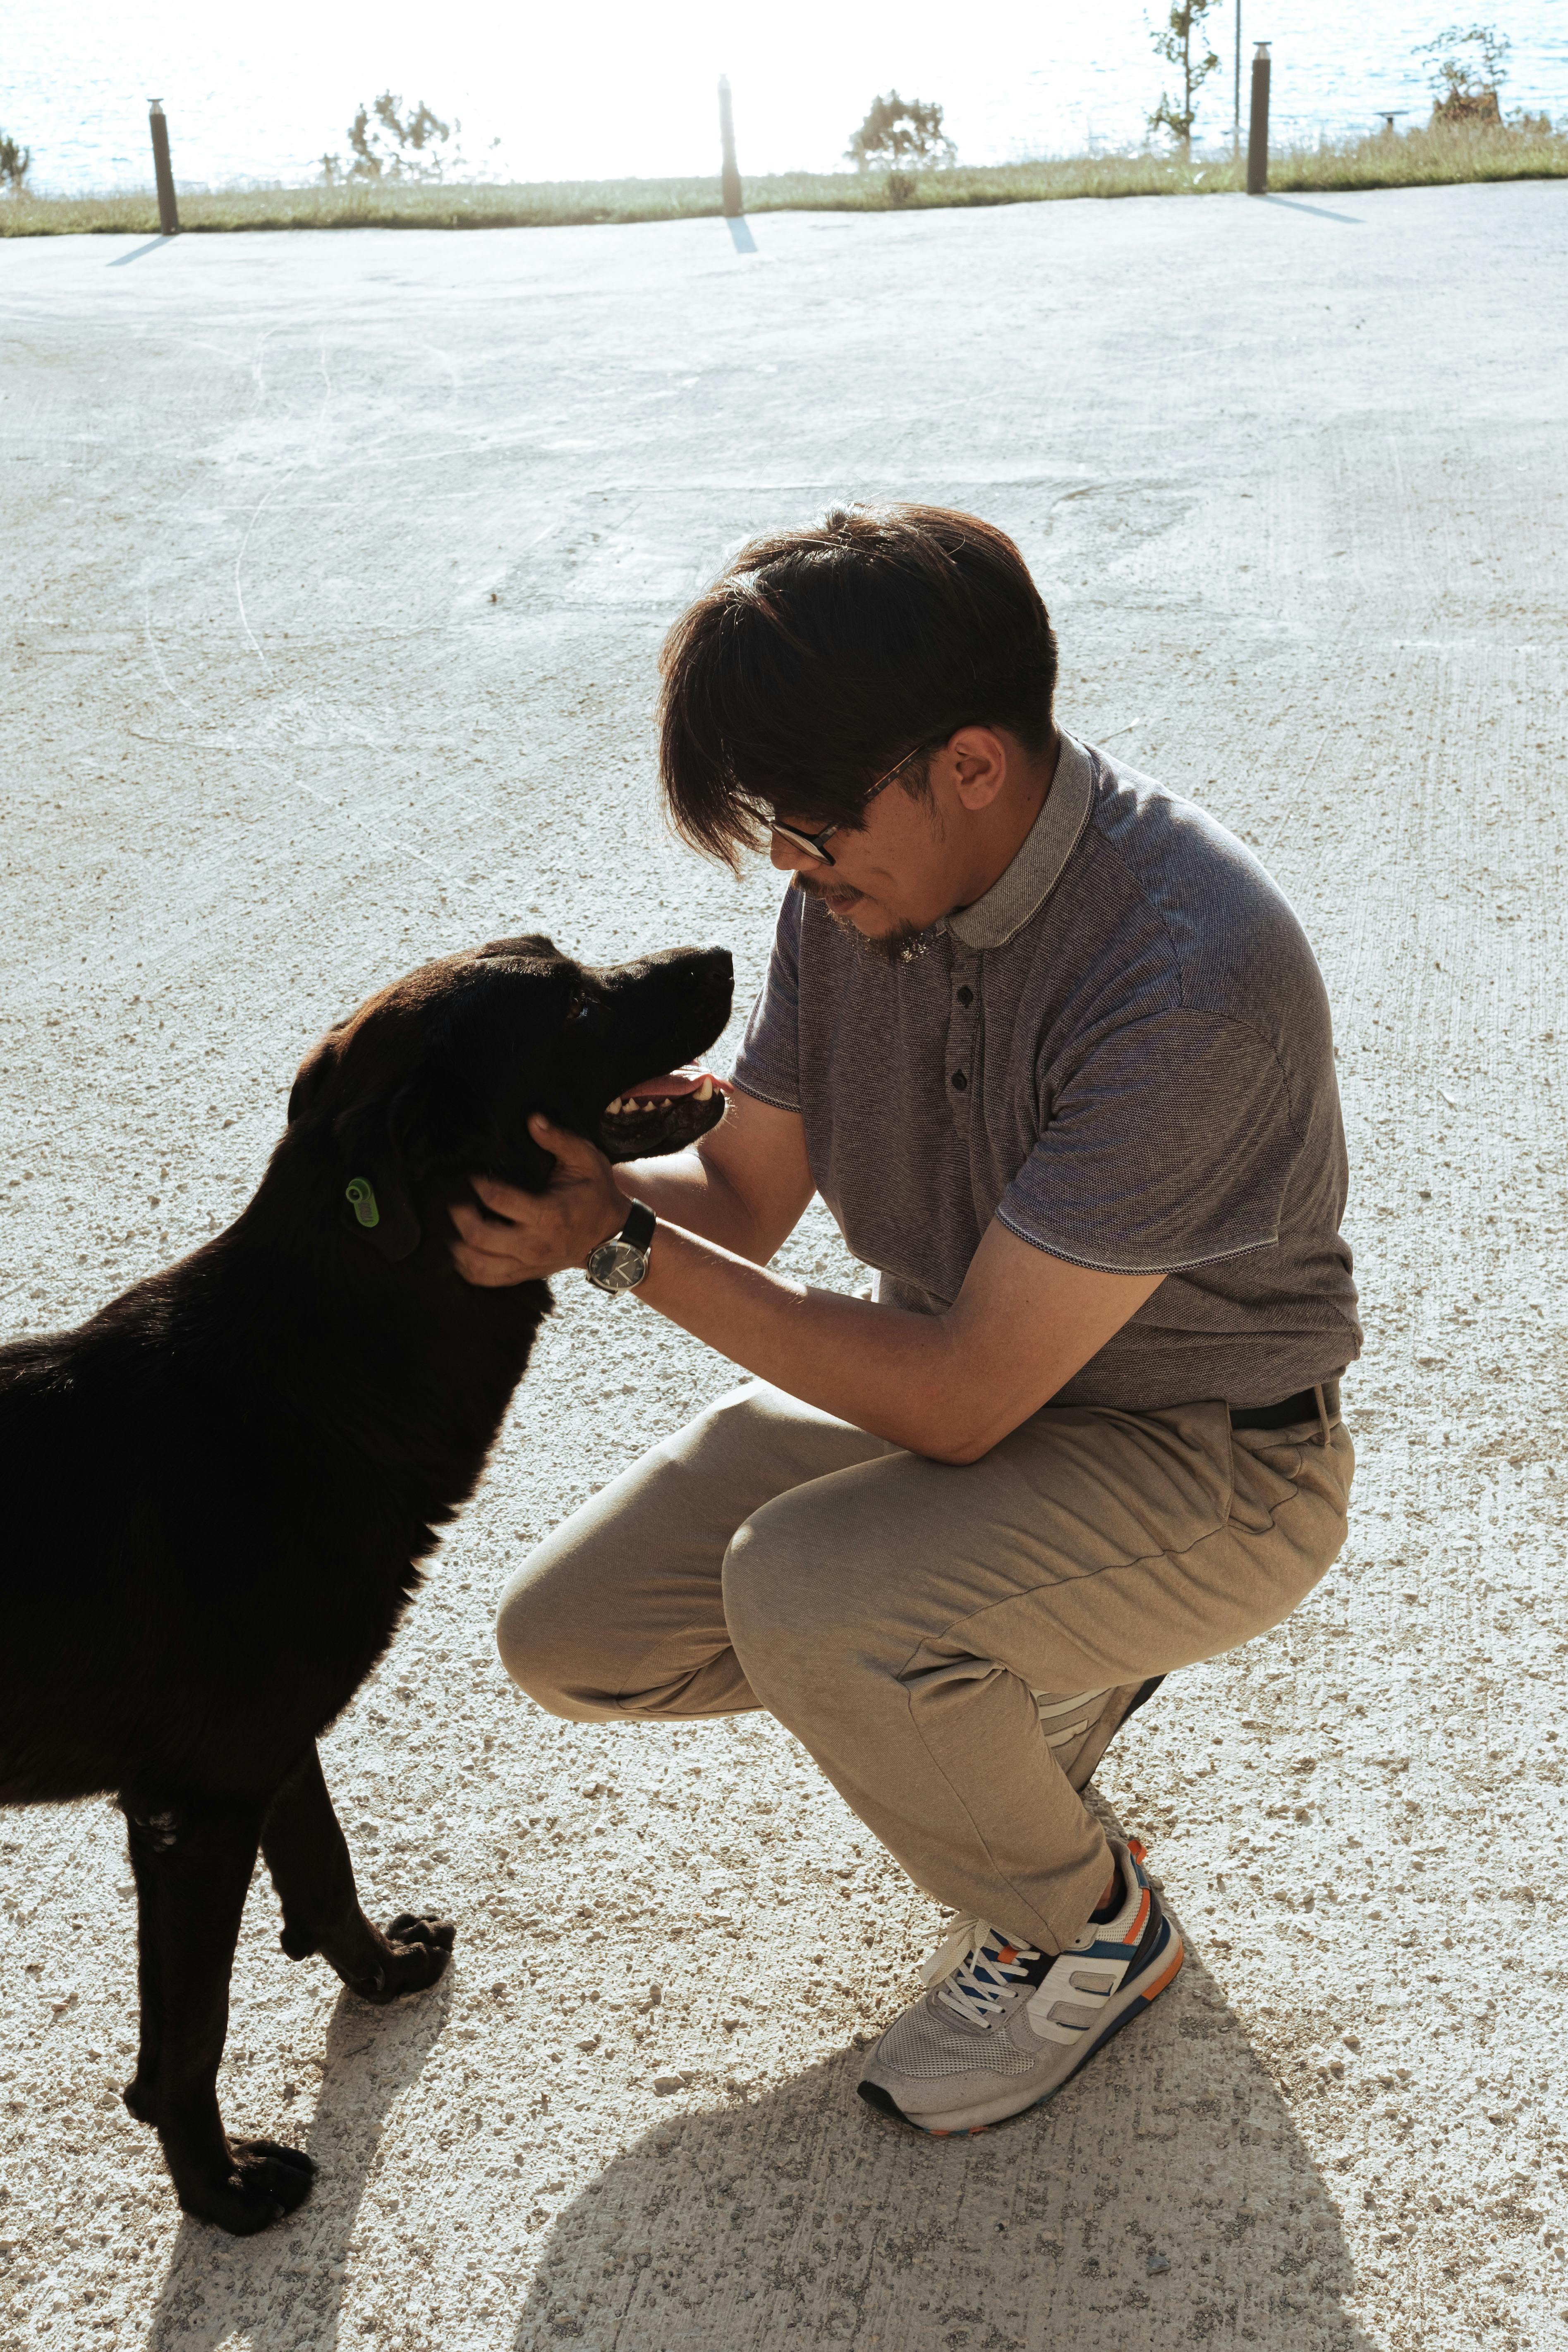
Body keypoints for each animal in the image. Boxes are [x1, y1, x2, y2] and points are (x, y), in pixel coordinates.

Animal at [0, 926, 738, 2230]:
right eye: (573, 1007)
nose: (725, 951)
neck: (303, 1379)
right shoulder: (197, 1808)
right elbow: (191, 2033)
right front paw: (219, 2190)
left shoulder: (259, 1754)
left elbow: (323, 1870)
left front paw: (382, 1975)